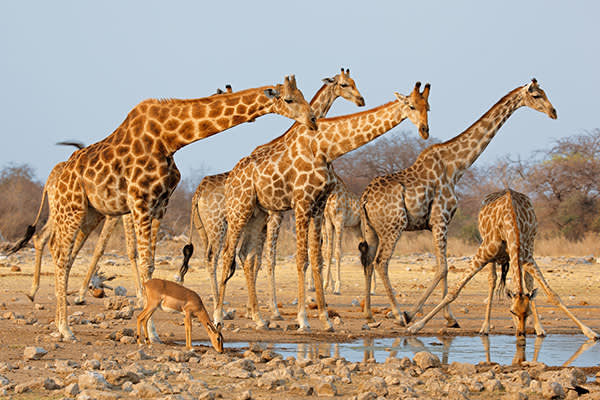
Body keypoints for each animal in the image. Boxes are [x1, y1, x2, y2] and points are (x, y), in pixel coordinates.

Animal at [10, 76, 318, 340]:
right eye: (289, 99)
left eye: (303, 95)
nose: (313, 120)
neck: (170, 138)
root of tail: (54, 179)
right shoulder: (140, 202)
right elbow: (145, 263)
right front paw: (151, 332)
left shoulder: (160, 205)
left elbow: (152, 265)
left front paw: (152, 331)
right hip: (70, 208)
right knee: (61, 255)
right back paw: (65, 329)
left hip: (89, 213)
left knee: (63, 252)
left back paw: (60, 322)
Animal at [178, 69, 366, 318]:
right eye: (345, 84)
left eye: (355, 82)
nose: (361, 100)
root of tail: (197, 193)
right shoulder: (276, 215)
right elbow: (268, 259)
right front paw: (273, 309)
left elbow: (255, 259)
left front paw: (255, 309)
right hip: (219, 224)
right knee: (214, 257)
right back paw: (219, 307)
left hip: (204, 228)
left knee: (212, 257)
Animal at [216, 81, 432, 332]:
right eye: (411, 106)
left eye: (428, 106)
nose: (425, 130)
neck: (325, 148)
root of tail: (230, 177)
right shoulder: (301, 203)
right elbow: (302, 258)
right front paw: (303, 319)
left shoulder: (318, 206)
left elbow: (317, 258)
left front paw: (325, 319)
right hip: (239, 209)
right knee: (228, 253)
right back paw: (219, 316)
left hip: (257, 213)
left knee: (246, 255)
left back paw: (259, 318)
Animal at [356, 79, 556, 328]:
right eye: (537, 95)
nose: (553, 112)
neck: (456, 165)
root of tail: (364, 198)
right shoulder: (440, 219)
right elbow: (442, 267)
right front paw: (415, 314)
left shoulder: (441, 223)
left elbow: (444, 267)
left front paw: (449, 318)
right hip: (394, 226)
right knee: (381, 262)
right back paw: (397, 313)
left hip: (371, 229)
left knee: (368, 261)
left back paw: (369, 315)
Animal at [408, 190, 600, 340]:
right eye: (512, 312)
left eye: (527, 313)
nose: (521, 333)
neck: (510, 226)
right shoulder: (482, 254)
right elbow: (454, 291)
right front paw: (415, 325)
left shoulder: (527, 257)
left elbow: (552, 294)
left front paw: (590, 332)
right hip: (490, 254)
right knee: (492, 280)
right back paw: (485, 327)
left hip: (529, 247)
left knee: (526, 282)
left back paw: (539, 328)